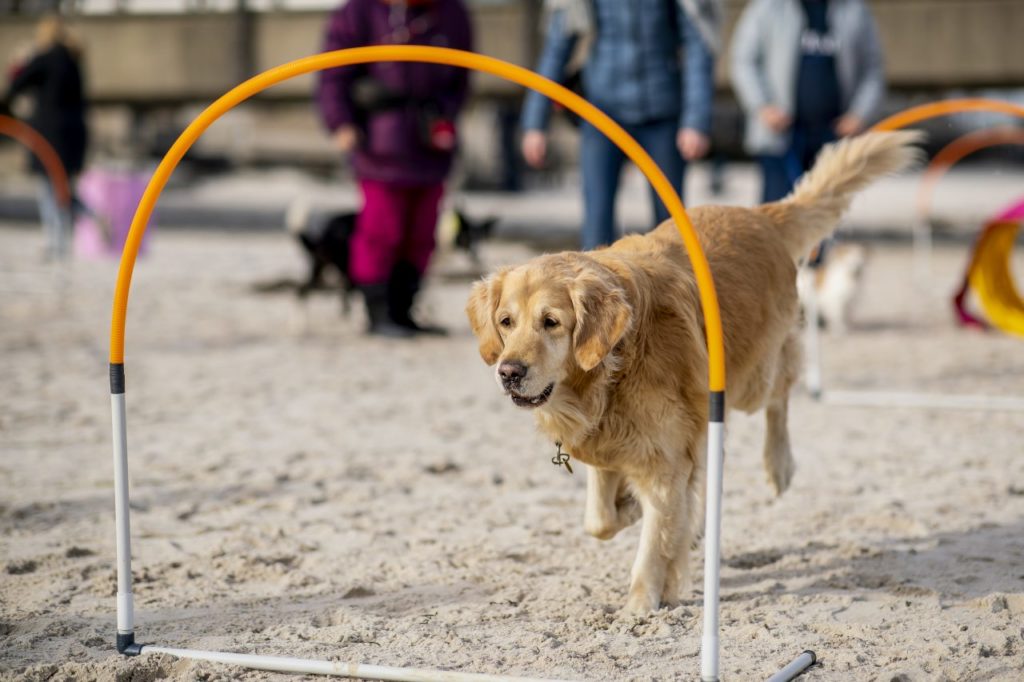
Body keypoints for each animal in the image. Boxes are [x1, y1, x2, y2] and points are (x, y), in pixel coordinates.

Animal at [464, 129, 921, 610]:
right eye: (505, 322)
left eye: (551, 322)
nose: (509, 372)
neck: (613, 368)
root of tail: (759, 215)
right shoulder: (607, 444)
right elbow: (600, 520)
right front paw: (630, 509)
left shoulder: (664, 460)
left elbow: (654, 541)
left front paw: (641, 605)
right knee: (708, 463)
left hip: (750, 378)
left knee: (780, 393)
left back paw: (778, 465)